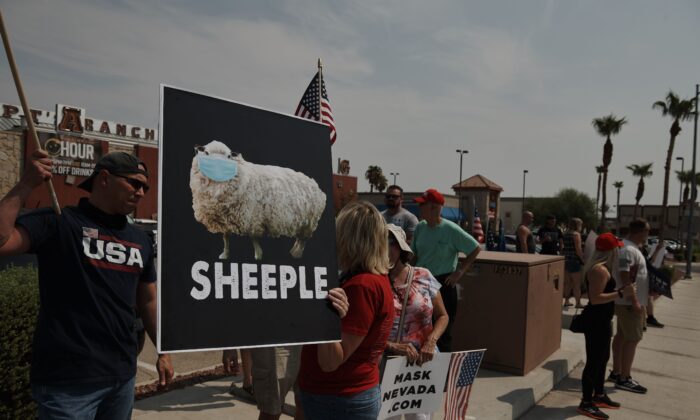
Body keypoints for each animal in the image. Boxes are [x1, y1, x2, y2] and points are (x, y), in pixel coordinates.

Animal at [187, 140, 326, 260]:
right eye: (206, 153)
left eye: (229, 156)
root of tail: (315, 185)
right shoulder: (224, 218)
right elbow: (225, 238)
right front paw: (225, 255)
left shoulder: (253, 218)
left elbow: (254, 239)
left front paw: (258, 256)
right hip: (302, 220)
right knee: (299, 238)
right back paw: (293, 252)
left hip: (309, 221)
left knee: (303, 240)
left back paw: (297, 253)